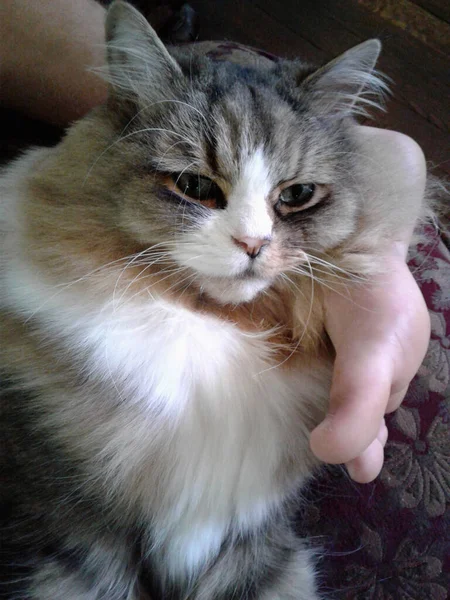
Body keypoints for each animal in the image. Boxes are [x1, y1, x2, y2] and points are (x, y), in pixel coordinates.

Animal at [0, 1, 426, 600]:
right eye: (195, 187)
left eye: (296, 195)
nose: (252, 244)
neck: (210, 331)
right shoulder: (73, 538)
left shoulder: (256, 549)